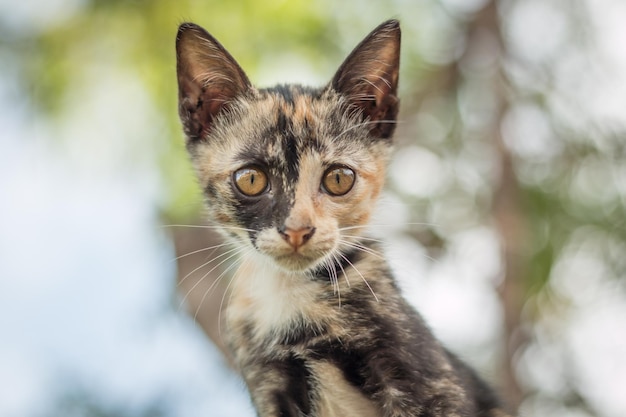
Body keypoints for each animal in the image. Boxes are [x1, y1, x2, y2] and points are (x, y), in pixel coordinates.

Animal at [173, 18, 510, 416]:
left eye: (338, 179)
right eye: (251, 179)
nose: (297, 230)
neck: (291, 293)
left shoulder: (432, 385)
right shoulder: (268, 386)